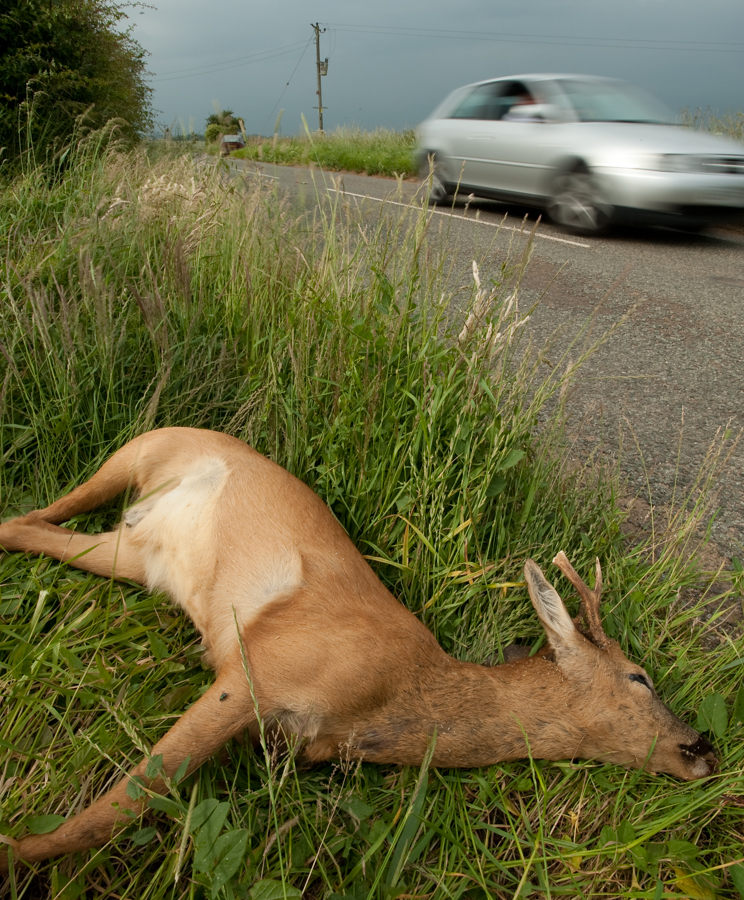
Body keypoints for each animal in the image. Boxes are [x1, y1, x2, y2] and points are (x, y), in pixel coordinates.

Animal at [0, 428, 716, 872]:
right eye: (640, 677)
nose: (704, 748)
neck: (394, 699)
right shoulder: (257, 672)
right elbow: (128, 798)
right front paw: (16, 852)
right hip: (138, 449)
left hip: (131, 555)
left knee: (23, 525)